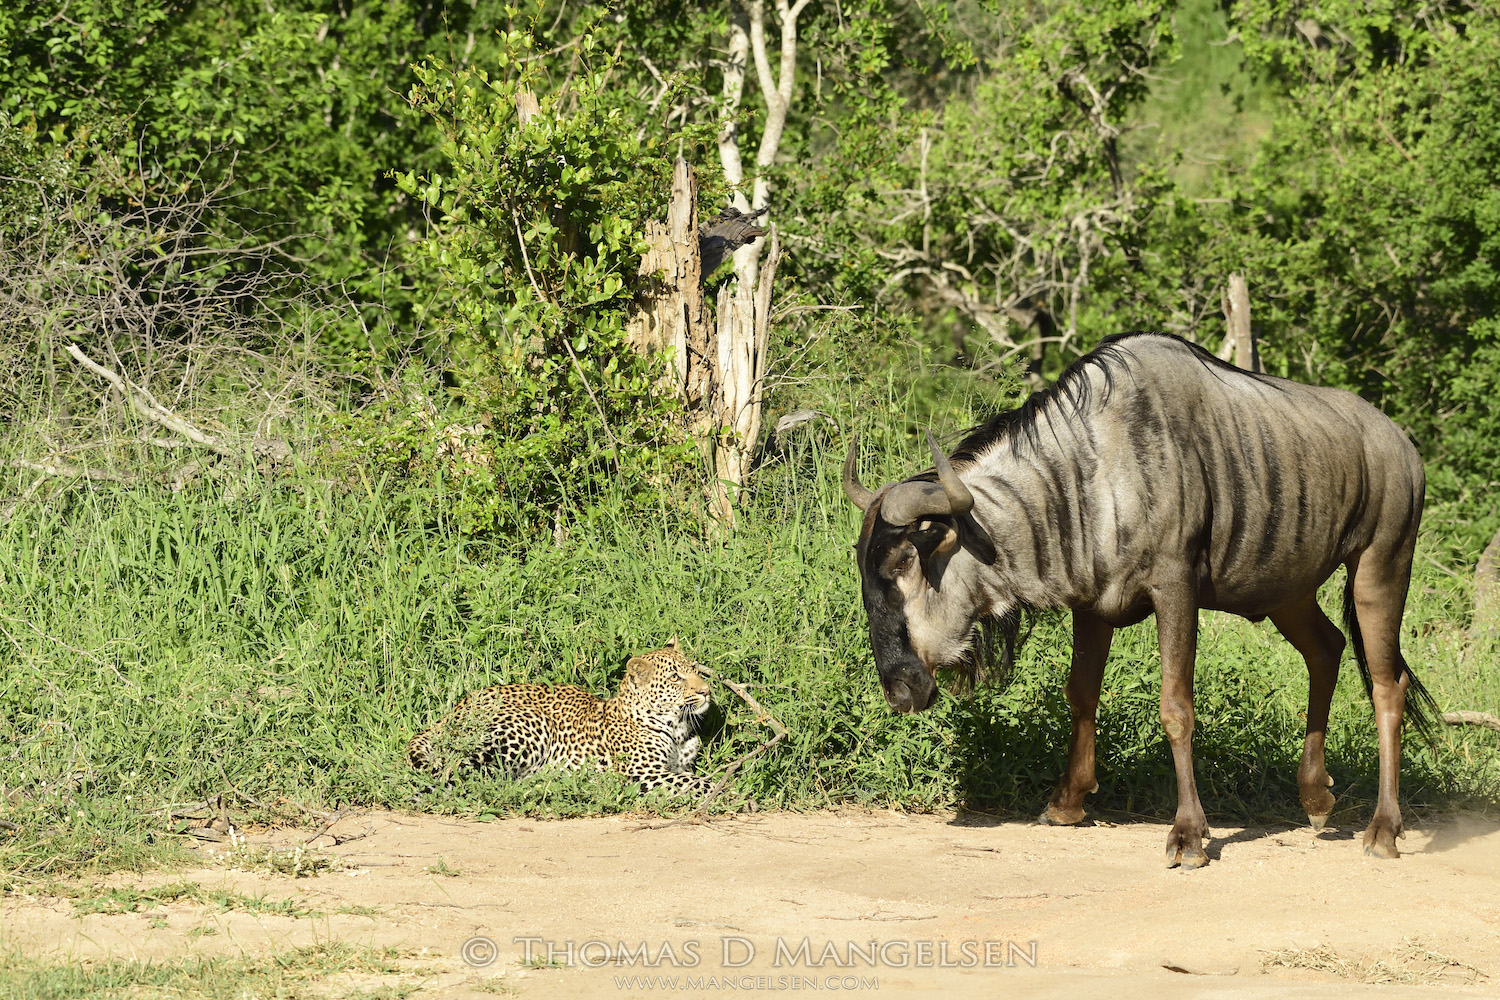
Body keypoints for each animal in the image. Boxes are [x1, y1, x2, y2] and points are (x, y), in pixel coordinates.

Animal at [406, 639, 715, 796]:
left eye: (694, 669)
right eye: (675, 678)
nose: (706, 690)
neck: (677, 728)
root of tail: (455, 709)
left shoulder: (677, 766)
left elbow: (693, 776)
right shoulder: (641, 773)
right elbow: (699, 782)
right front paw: (723, 791)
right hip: (530, 724)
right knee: (461, 771)